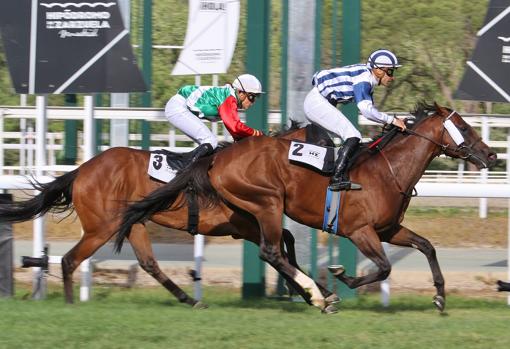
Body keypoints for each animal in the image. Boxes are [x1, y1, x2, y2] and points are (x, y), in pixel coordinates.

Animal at [0, 123, 342, 308]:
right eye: (326, 144)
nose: (335, 171)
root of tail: (82, 170)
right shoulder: (244, 225)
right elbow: (280, 248)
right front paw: (315, 294)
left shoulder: (249, 225)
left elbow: (286, 243)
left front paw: (320, 292)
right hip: (102, 227)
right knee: (71, 260)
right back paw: (72, 305)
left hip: (133, 223)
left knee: (149, 263)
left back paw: (191, 300)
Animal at [113, 101, 496, 312]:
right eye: (463, 127)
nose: (491, 155)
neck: (388, 172)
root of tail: (217, 157)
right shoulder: (361, 232)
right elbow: (385, 267)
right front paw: (343, 276)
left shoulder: (389, 229)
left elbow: (427, 246)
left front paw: (440, 298)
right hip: (267, 202)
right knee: (270, 250)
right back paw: (319, 296)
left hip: (253, 212)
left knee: (276, 249)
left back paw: (317, 293)